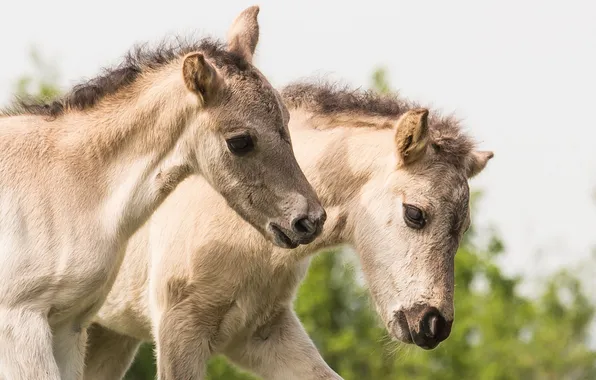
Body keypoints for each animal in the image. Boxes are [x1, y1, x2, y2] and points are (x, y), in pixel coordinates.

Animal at [0, 6, 326, 380]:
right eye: (240, 141)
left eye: (286, 120)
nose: (310, 221)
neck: (68, 184)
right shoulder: (20, 322)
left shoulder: (68, 326)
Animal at [84, 81, 494, 378]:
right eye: (415, 214)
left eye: (462, 229)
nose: (433, 325)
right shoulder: (179, 331)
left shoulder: (260, 334)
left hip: (110, 335)